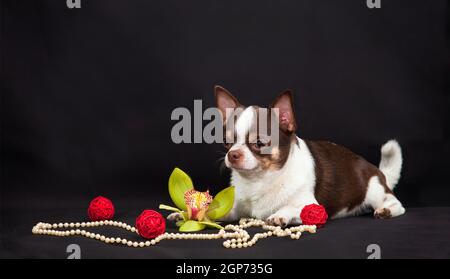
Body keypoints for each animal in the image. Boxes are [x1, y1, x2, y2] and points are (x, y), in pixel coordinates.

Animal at [171, 86, 406, 228]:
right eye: (227, 142)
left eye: (259, 143)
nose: (233, 154)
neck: (261, 180)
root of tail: (376, 169)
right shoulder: (235, 207)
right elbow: (213, 209)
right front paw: (186, 212)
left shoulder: (310, 206)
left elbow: (290, 207)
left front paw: (279, 215)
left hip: (374, 190)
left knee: (396, 203)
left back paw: (386, 210)